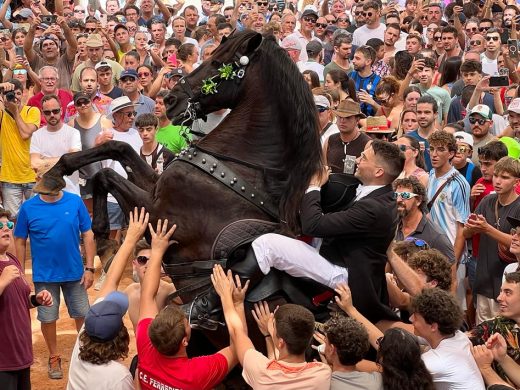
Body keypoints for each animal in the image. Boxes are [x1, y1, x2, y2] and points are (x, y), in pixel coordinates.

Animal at [35, 29, 324, 348]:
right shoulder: (154, 186)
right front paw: (56, 175)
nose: (171, 99)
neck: (240, 166)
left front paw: (101, 235)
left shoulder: (158, 214)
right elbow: (118, 149)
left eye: (217, 63)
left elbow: (106, 175)